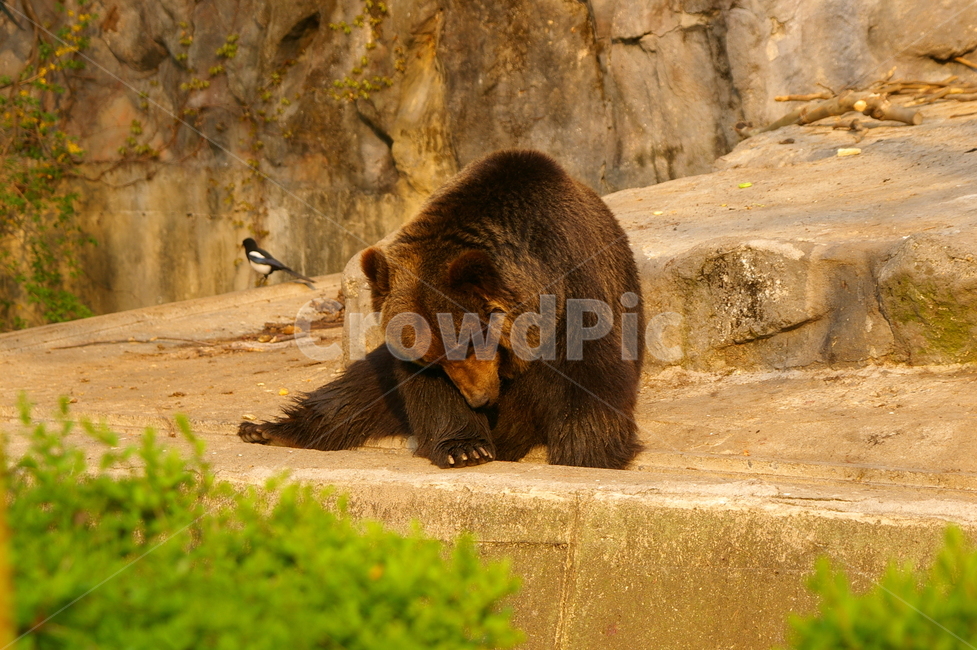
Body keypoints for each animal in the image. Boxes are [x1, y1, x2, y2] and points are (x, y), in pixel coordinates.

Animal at [239, 149, 645, 469]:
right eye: (432, 360)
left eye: (471, 344)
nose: (480, 400)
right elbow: (425, 394)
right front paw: (465, 448)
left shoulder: (577, 293)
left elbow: (591, 379)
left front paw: (587, 455)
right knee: (357, 389)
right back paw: (266, 430)